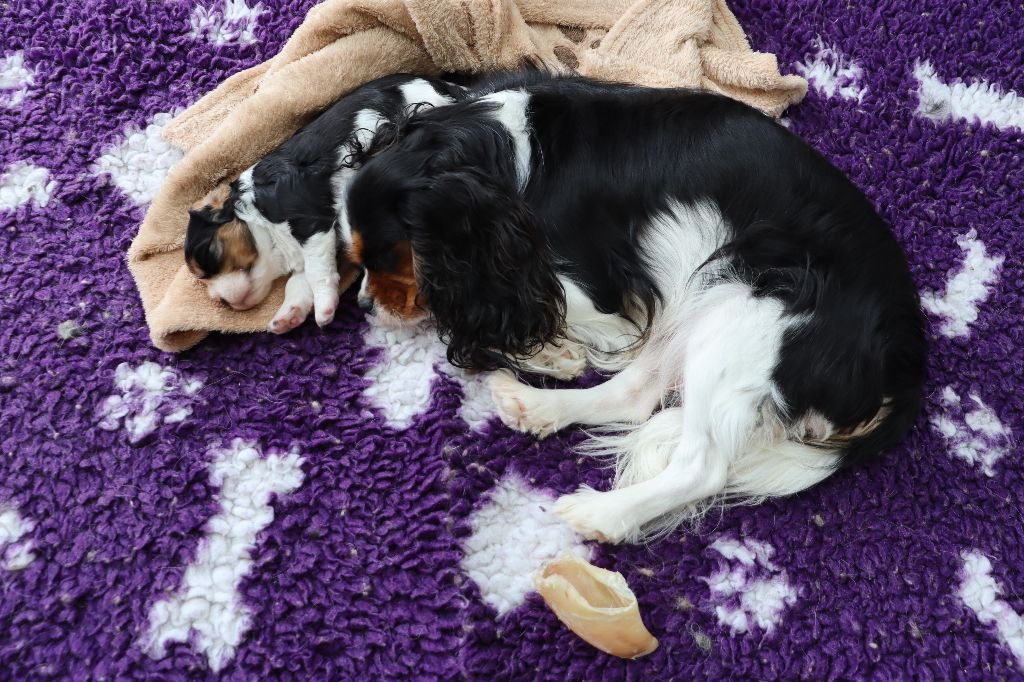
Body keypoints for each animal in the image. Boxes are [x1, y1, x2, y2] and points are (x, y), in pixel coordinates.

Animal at [186, 71, 466, 331]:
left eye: (208, 254)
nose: (220, 301)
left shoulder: (310, 221)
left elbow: (315, 270)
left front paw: (324, 308)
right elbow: (299, 279)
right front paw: (288, 315)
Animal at [342, 74, 929, 540]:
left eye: (389, 255)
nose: (366, 304)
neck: (505, 150)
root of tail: (904, 367)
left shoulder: (594, 292)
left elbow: (533, 311)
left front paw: (549, 349)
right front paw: (551, 357)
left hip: (745, 311)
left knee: (701, 466)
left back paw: (602, 514)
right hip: (705, 304)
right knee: (633, 397)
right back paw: (534, 407)